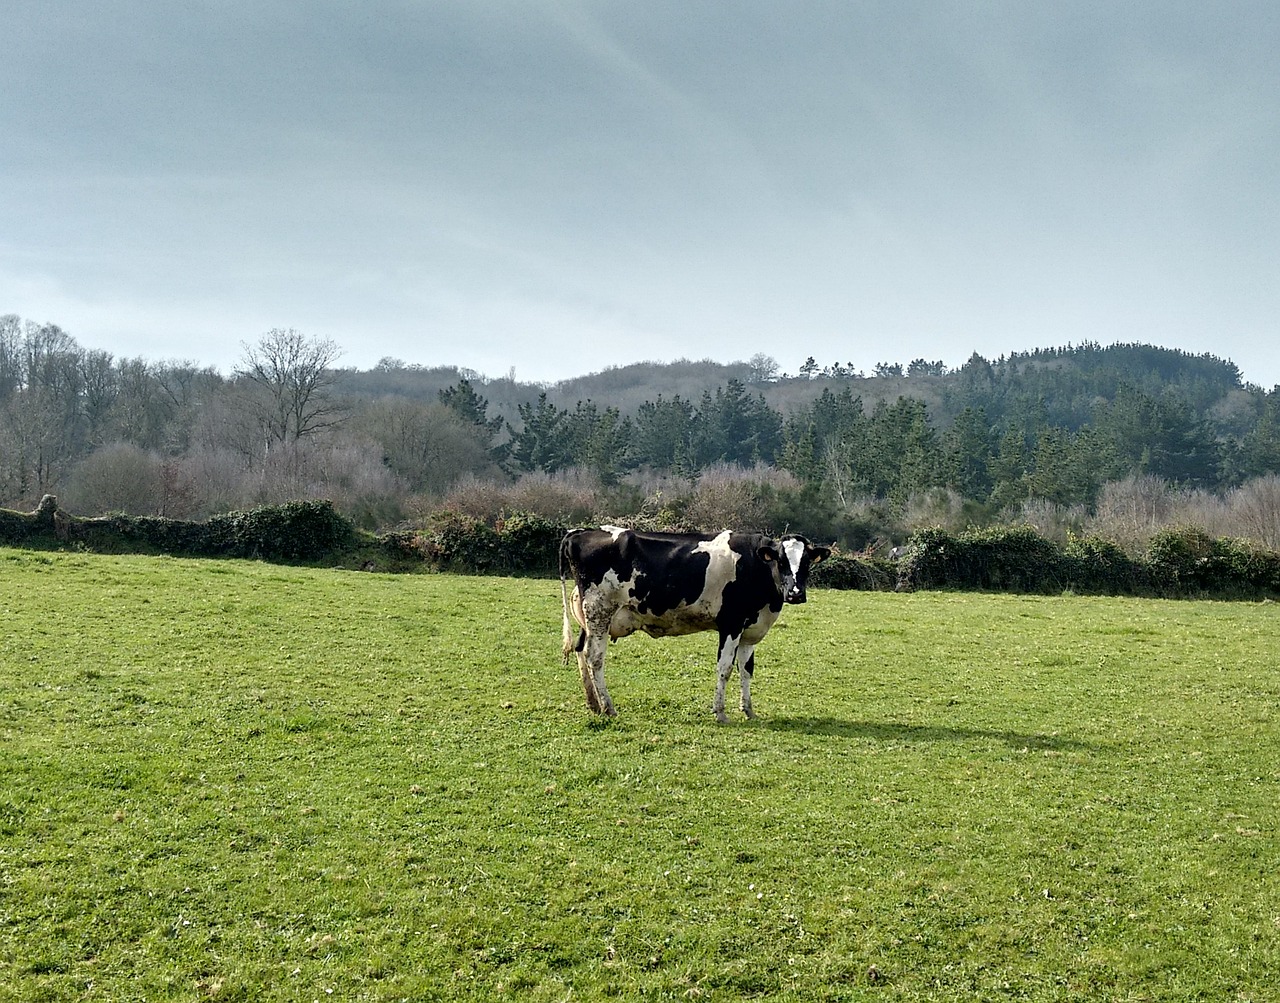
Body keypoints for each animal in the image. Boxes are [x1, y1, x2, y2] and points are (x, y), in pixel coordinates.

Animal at [560, 524, 829, 721]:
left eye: (807, 562)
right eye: (780, 561)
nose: (795, 593)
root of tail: (581, 531)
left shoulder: (750, 631)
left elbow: (746, 670)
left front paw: (748, 710)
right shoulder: (731, 624)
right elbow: (725, 668)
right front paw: (720, 713)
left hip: (590, 618)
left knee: (581, 650)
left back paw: (593, 703)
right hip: (600, 611)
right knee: (595, 657)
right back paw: (608, 707)